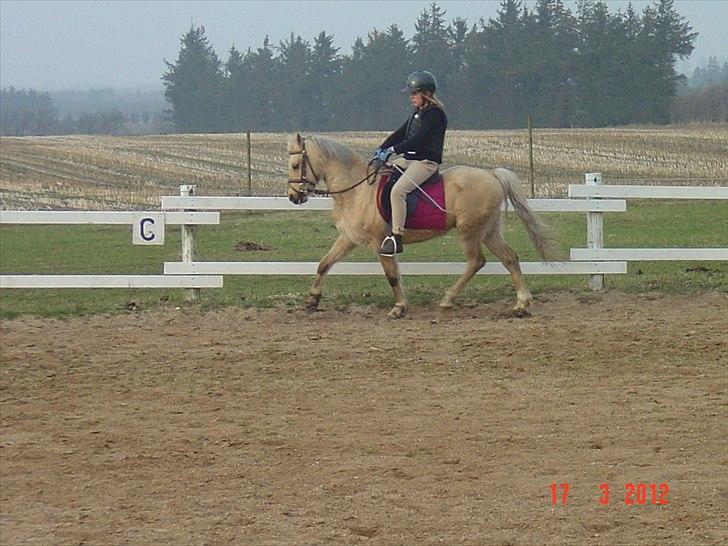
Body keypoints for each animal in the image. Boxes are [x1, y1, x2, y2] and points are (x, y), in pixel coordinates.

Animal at [286, 133, 552, 316]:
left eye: (295, 165)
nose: (293, 197)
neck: (358, 190)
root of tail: (492, 175)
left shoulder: (380, 243)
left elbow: (392, 276)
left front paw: (399, 308)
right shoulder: (348, 238)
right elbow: (324, 264)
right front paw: (312, 300)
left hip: (470, 231)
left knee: (477, 261)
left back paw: (448, 299)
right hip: (489, 231)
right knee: (510, 258)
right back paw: (521, 304)